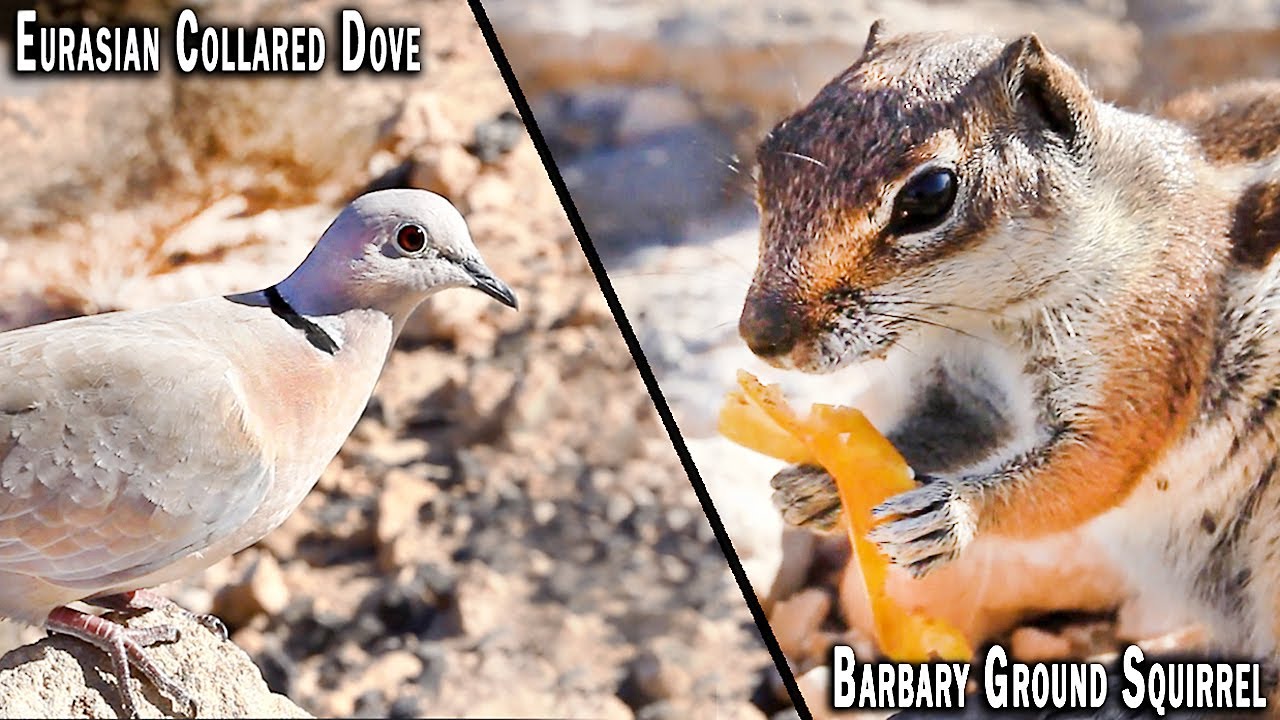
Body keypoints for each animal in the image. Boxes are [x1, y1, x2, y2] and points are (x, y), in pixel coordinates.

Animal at [739, 22, 1280, 663]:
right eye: (771, 149)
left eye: (928, 195)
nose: (760, 335)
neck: (982, 316)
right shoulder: (959, 379)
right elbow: (942, 430)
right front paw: (814, 483)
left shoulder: (1145, 343)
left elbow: (1094, 466)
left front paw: (955, 513)